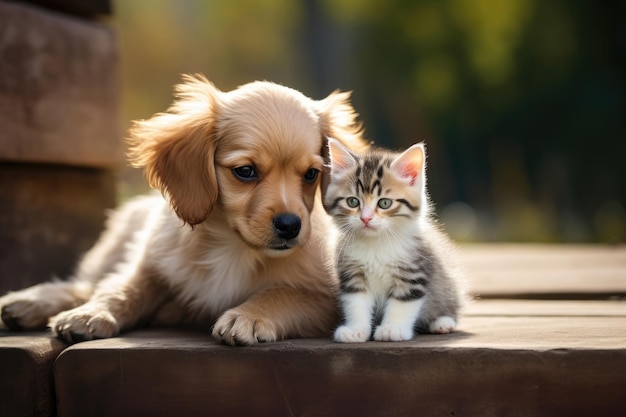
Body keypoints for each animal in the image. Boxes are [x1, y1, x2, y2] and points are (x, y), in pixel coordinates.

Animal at [0, 74, 366, 344]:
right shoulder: (152, 263)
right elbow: (123, 288)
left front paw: (247, 316)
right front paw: (91, 314)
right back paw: (29, 303)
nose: (290, 225)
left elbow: (284, 294)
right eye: (245, 171)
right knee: (92, 281)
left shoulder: (329, 298)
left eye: (311, 174)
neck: (232, 247)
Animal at [324, 139, 460, 342]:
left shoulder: (413, 272)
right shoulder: (352, 274)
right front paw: (356, 330)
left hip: (446, 285)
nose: (365, 218)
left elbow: (402, 303)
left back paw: (442, 322)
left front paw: (392, 329)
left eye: (384, 203)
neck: (376, 243)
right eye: (353, 202)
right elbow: (356, 304)